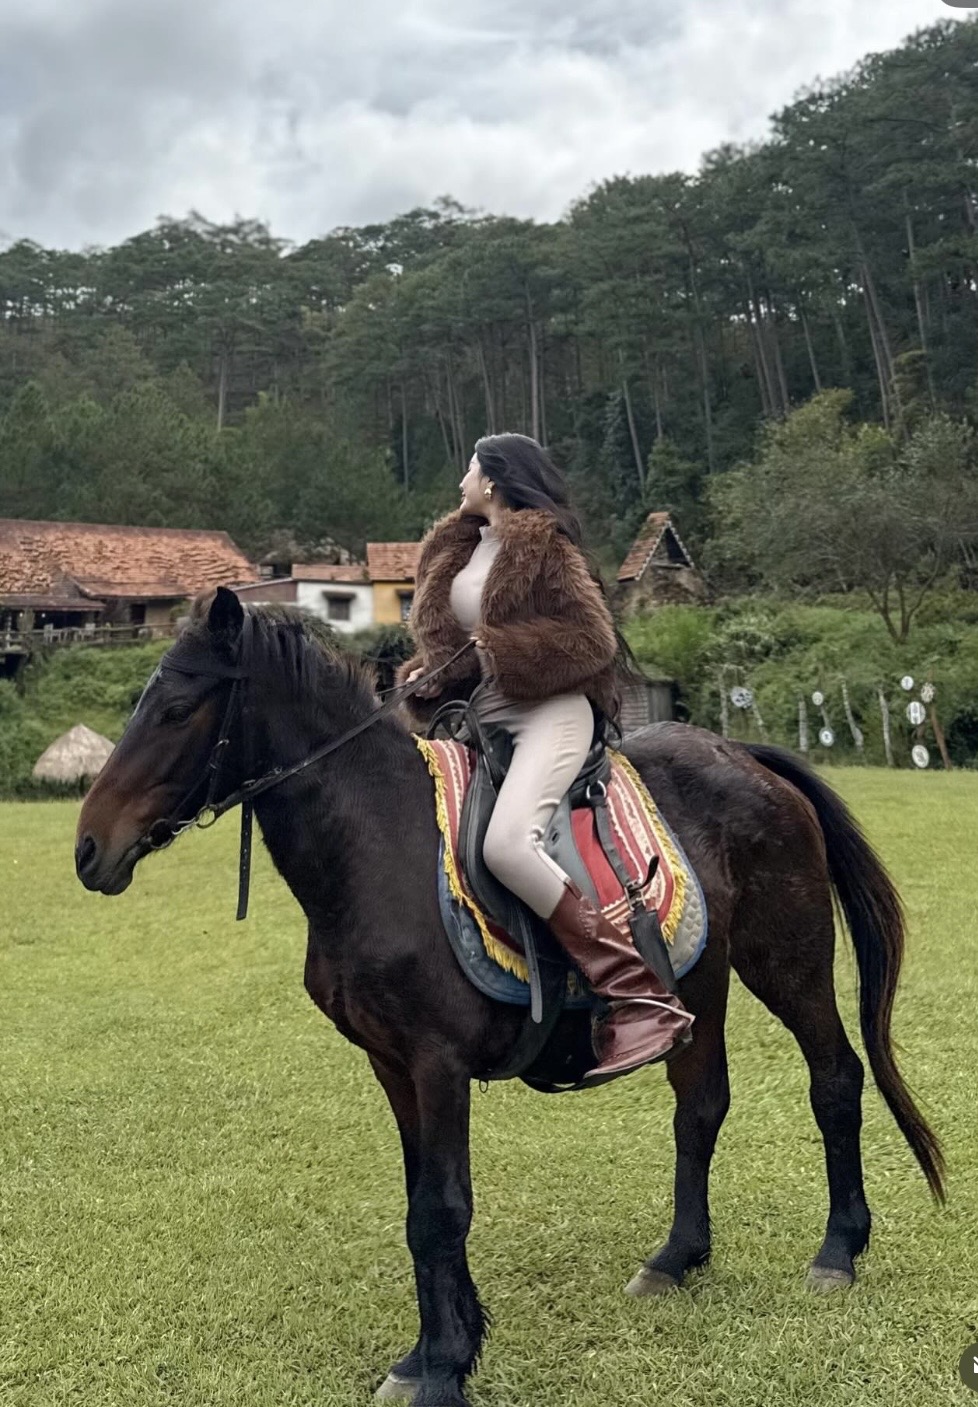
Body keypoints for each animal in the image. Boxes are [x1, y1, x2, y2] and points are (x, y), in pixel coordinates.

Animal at [74, 589, 946, 1407]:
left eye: (177, 708)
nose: (88, 849)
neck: (375, 841)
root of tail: (746, 756)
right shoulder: (392, 1066)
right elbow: (420, 1206)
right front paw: (431, 1353)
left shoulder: (439, 1063)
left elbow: (441, 1209)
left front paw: (444, 1367)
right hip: (699, 980)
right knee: (701, 1105)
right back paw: (676, 1258)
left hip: (787, 960)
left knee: (835, 1080)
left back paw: (837, 1251)